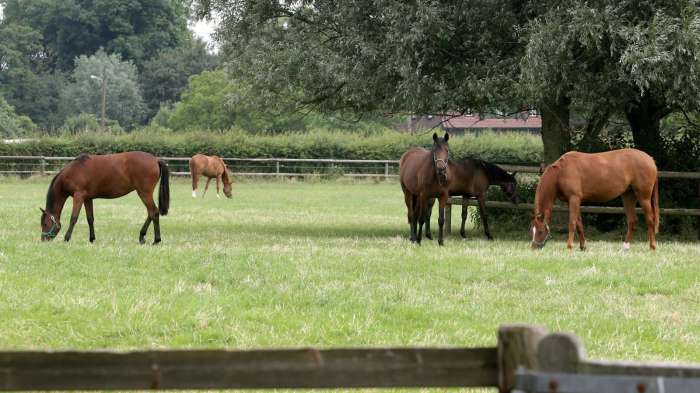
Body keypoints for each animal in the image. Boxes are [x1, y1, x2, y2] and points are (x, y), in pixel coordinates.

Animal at [41, 152, 172, 243]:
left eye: (45, 224)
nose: (43, 240)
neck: (72, 172)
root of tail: (155, 159)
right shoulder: (87, 198)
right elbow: (90, 219)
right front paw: (92, 239)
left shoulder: (78, 196)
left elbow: (74, 218)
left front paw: (67, 238)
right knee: (151, 213)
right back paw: (142, 236)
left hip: (144, 193)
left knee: (154, 212)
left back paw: (156, 240)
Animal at [532, 149, 660, 250]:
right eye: (532, 230)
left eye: (540, 231)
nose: (534, 247)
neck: (561, 171)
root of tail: (650, 159)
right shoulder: (572, 202)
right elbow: (579, 223)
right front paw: (583, 246)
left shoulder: (574, 199)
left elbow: (572, 223)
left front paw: (569, 246)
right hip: (628, 196)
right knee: (632, 220)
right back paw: (625, 247)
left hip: (643, 197)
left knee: (650, 219)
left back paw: (652, 246)